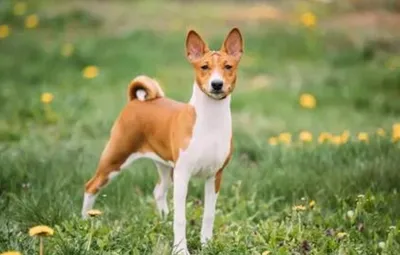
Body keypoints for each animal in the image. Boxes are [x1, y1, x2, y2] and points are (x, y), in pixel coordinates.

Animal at [81, 27, 244, 255]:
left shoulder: (214, 176)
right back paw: (84, 222)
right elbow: (181, 219)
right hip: (115, 158)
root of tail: (136, 101)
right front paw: (180, 249)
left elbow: (209, 215)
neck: (210, 121)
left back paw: (163, 220)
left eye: (228, 66)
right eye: (204, 67)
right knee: (91, 186)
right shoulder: (183, 175)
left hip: (166, 167)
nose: (217, 84)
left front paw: (206, 244)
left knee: (158, 191)